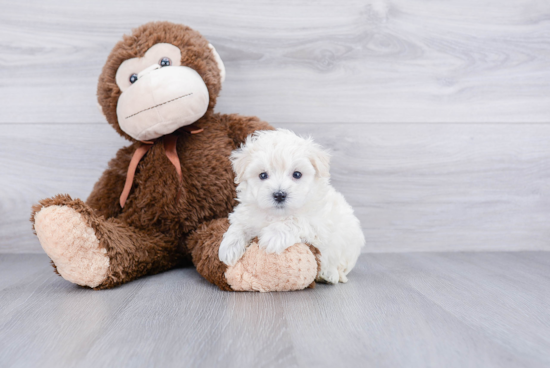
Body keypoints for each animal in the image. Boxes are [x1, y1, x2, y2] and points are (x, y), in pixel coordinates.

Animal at [220, 129, 366, 284]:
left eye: (297, 174)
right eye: (263, 175)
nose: (279, 195)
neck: (277, 214)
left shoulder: (319, 223)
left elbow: (296, 220)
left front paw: (273, 235)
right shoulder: (248, 214)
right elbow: (239, 226)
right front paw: (229, 247)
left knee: (340, 266)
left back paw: (329, 274)